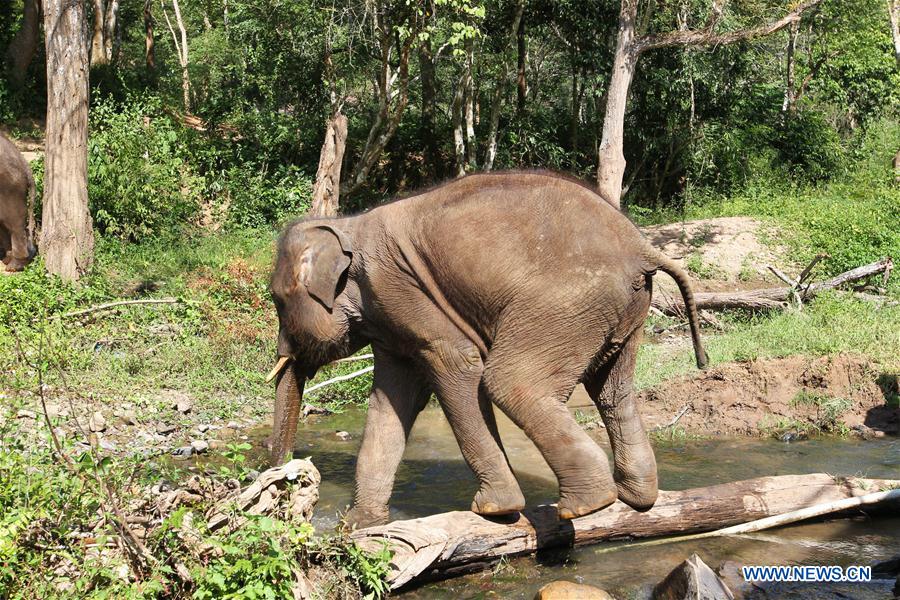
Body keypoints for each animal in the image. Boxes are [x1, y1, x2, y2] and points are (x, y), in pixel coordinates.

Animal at [267, 171, 707, 528]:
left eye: (276, 301)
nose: (283, 479)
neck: (347, 224)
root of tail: (642, 246)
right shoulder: (389, 322)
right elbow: (390, 401)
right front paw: (358, 527)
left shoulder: (398, 289)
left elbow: (458, 365)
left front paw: (495, 509)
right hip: (621, 312)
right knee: (613, 390)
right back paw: (635, 499)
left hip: (566, 304)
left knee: (509, 381)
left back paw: (587, 505)